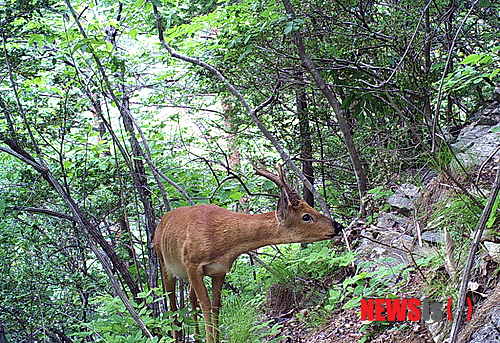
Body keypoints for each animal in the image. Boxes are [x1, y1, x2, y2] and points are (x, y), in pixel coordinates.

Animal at [154, 163, 346, 343]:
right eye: (306, 216)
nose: (338, 226)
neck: (223, 240)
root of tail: (160, 223)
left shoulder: (219, 270)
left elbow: (216, 306)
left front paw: (216, 338)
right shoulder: (193, 263)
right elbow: (206, 306)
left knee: (190, 296)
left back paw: (197, 336)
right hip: (164, 262)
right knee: (172, 304)